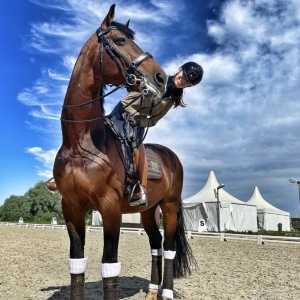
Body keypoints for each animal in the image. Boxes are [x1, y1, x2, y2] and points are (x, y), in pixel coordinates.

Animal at [53, 4, 196, 300]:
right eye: (120, 40)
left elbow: (110, 266)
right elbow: (77, 265)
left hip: (169, 207)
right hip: (148, 212)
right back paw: (152, 291)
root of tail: (171, 156)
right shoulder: (71, 208)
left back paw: (166, 292)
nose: (161, 78)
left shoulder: (109, 209)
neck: (80, 145)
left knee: (169, 248)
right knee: (155, 244)